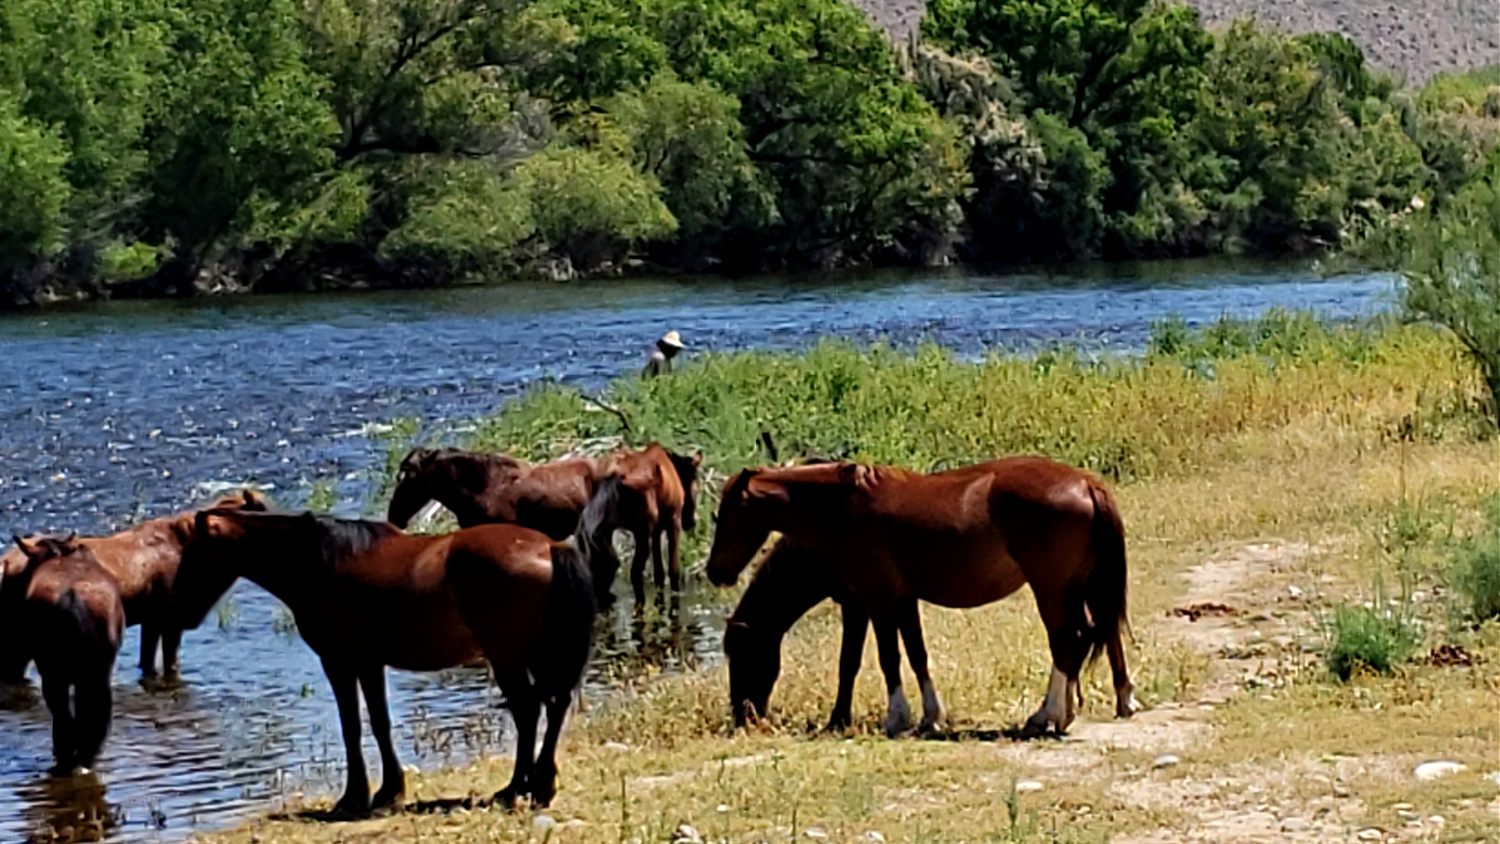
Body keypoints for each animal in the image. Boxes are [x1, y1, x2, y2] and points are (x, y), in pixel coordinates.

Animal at [171, 479, 627, 815]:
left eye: (193, 551)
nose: (180, 608)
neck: (319, 563)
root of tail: (550, 546)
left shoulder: (339, 661)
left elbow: (354, 726)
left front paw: (358, 796)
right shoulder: (369, 663)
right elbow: (379, 722)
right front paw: (388, 790)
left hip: (509, 658)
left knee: (530, 711)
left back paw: (517, 787)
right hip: (535, 655)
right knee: (554, 704)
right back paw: (540, 784)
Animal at [702, 455, 1134, 740]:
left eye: (727, 515)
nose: (743, 717)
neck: (841, 511)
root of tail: (1086, 483)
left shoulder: (872, 600)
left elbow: (880, 659)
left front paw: (893, 717)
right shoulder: (901, 600)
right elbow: (916, 654)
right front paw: (930, 716)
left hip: (1051, 589)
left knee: (1067, 641)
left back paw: (1049, 715)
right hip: (1078, 587)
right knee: (1093, 634)